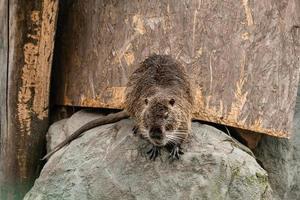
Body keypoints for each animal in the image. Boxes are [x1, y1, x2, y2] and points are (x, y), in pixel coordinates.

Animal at [42, 54, 195, 161]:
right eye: (148, 115)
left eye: (166, 115)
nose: (155, 134)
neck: (161, 91)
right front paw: (154, 148)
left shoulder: (185, 114)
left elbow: (183, 133)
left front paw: (175, 149)